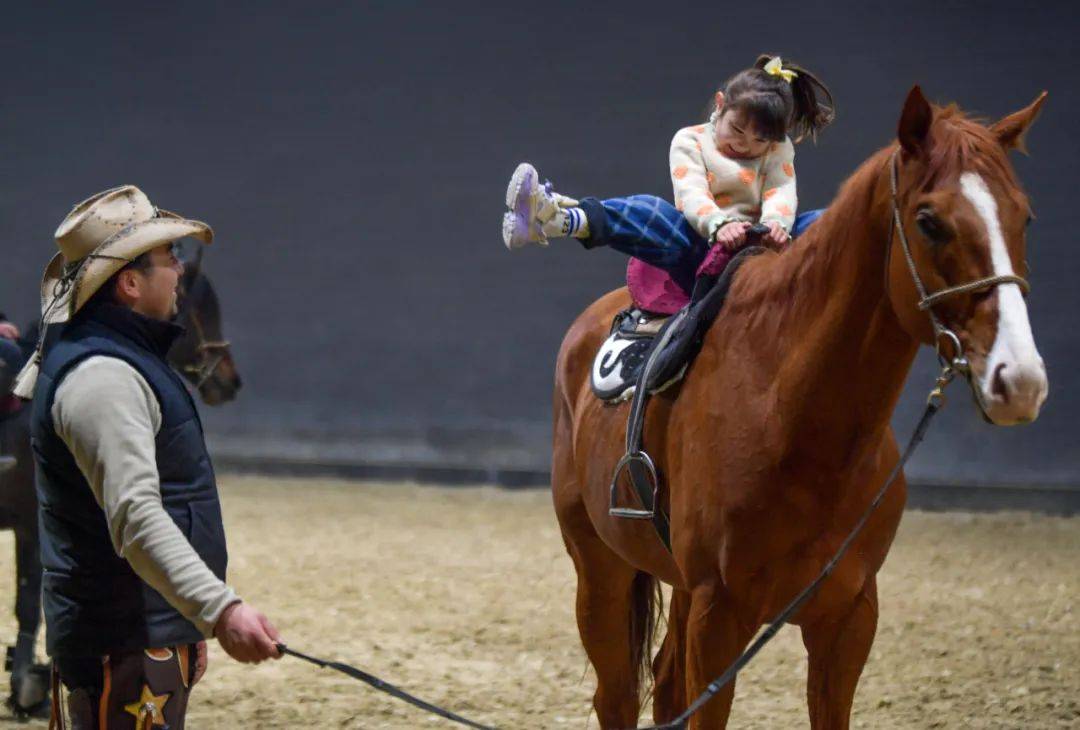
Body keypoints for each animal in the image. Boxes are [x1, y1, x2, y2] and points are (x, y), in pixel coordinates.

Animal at [552, 86, 1049, 730]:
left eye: (1023, 217)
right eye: (929, 221)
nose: (1021, 379)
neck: (790, 414)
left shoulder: (849, 616)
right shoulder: (720, 616)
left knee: (663, 684)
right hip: (600, 570)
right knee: (618, 695)